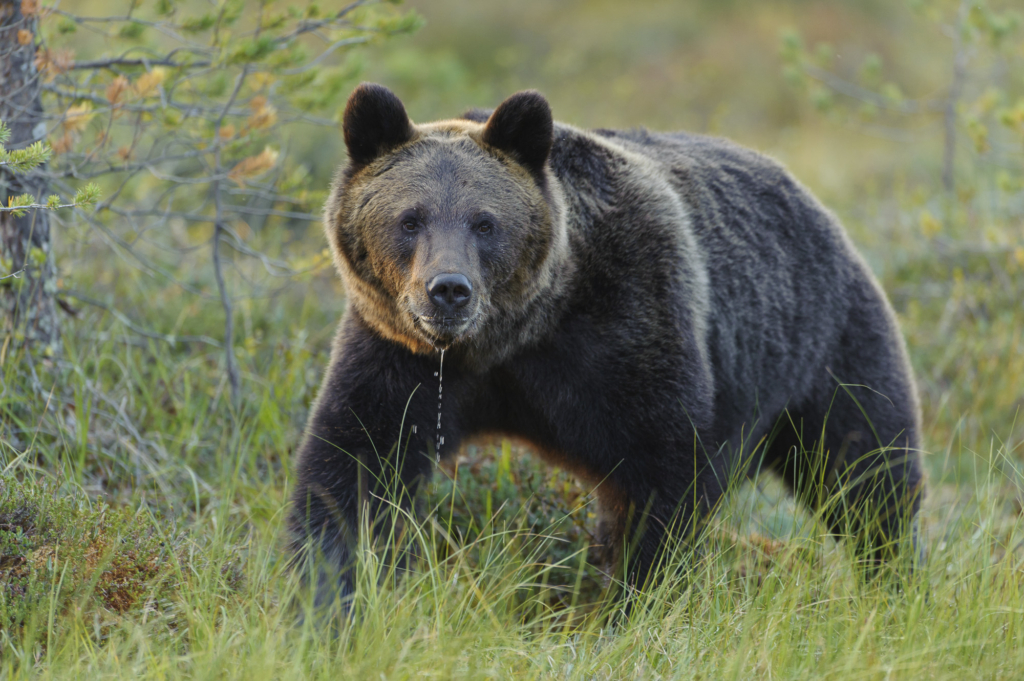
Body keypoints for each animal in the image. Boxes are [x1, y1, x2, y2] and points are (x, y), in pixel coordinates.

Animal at [288, 80, 929, 606]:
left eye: (485, 222)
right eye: (410, 218)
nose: (449, 290)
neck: (516, 333)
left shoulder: (627, 332)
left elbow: (661, 477)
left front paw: (633, 603)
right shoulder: (403, 356)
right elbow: (355, 464)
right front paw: (325, 599)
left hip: (825, 348)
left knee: (867, 472)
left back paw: (897, 585)